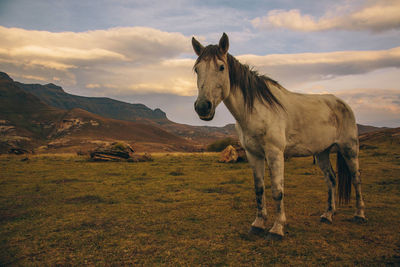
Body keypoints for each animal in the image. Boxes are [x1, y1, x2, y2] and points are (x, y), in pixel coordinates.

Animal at [192, 32, 368, 240]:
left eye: (221, 67)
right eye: (197, 69)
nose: (202, 107)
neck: (257, 111)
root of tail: (342, 103)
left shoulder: (275, 153)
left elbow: (277, 190)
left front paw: (277, 228)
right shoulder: (253, 154)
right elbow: (259, 189)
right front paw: (258, 224)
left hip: (350, 149)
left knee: (356, 179)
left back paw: (359, 215)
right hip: (322, 152)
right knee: (331, 179)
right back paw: (328, 215)